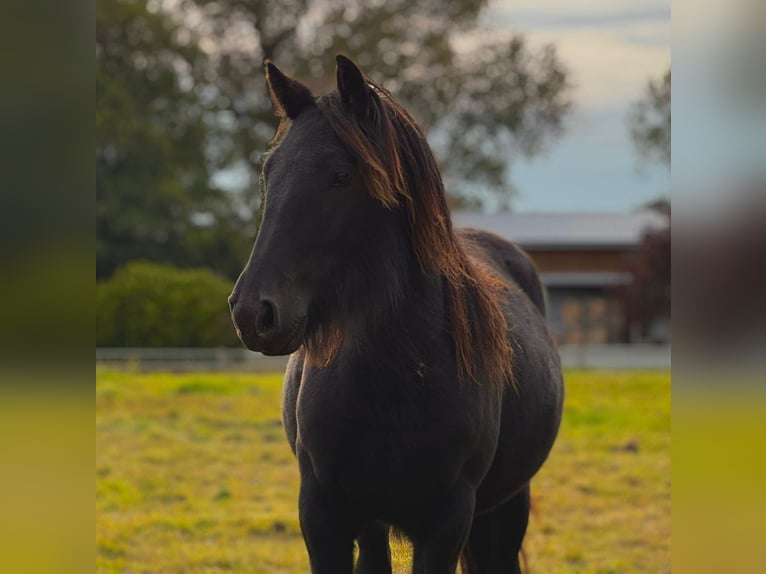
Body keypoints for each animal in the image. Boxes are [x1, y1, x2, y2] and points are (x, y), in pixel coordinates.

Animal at [228, 54, 564, 574]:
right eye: (269, 173)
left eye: (341, 175)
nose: (252, 312)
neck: (396, 372)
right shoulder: (323, 518)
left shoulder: (446, 521)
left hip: (510, 503)